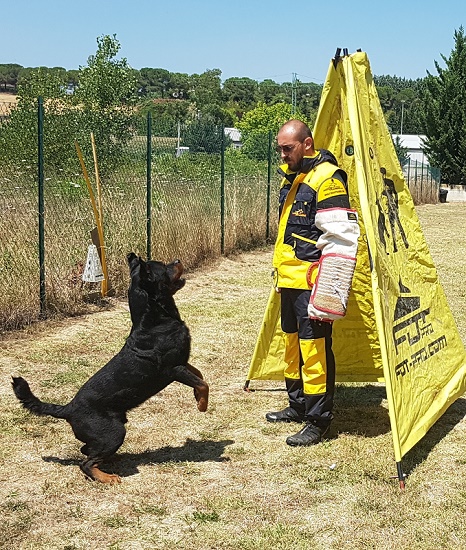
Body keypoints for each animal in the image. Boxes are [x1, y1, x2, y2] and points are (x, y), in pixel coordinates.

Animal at [11, 252, 208, 486]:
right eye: (163, 267)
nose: (177, 260)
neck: (155, 321)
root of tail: (68, 409)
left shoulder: (183, 363)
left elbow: (199, 375)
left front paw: (197, 398)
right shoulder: (173, 368)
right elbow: (202, 383)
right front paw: (202, 406)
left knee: (87, 450)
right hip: (113, 432)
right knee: (85, 463)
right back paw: (107, 477)